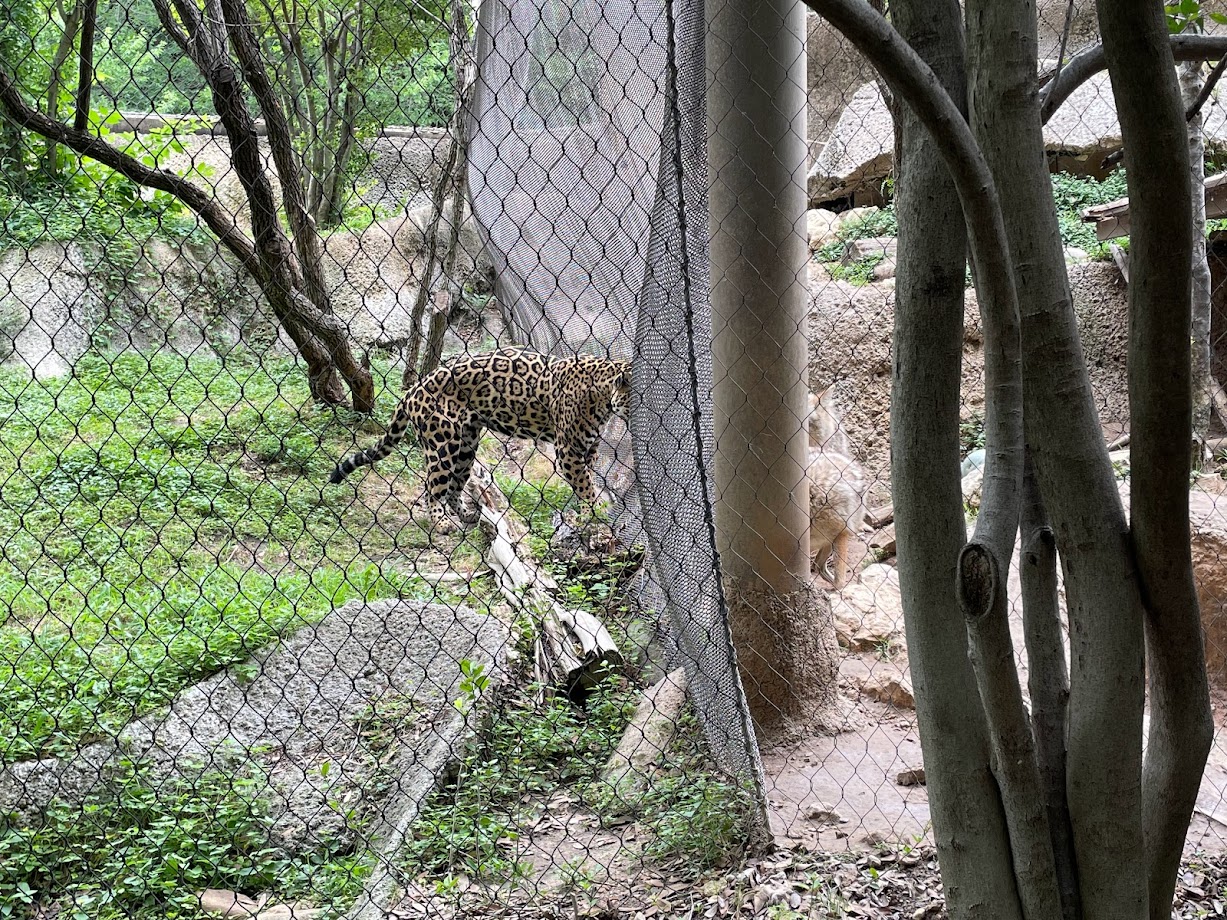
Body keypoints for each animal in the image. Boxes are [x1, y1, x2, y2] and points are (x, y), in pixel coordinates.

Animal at [329, 347, 631, 531]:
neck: (603, 394)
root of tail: (413, 389)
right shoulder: (568, 450)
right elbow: (585, 485)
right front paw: (594, 512)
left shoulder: (588, 449)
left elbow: (586, 481)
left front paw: (585, 512)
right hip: (443, 444)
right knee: (431, 487)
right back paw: (441, 524)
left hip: (466, 445)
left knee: (454, 487)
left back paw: (468, 515)